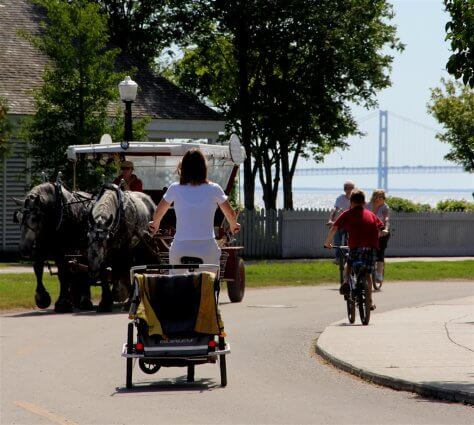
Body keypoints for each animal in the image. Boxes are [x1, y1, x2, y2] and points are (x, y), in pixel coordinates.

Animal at [13, 181, 93, 312]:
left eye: (34, 218)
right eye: (18, 218)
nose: (24, 248)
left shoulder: (64, 251)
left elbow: (63, 273)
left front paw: (63, 302)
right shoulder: (41, 249)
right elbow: (38, 269)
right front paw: (42, 297)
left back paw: (85, 301)